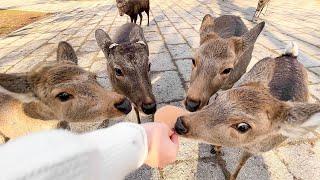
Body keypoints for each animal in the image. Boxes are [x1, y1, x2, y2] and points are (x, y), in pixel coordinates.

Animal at [175, 42, 320, 180]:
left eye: (243, 126)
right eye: (217, 97)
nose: (180, 124)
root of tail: (291, 55)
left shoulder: (255, 150)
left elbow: (241, 164)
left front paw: (231, 177)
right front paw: (215, 148)